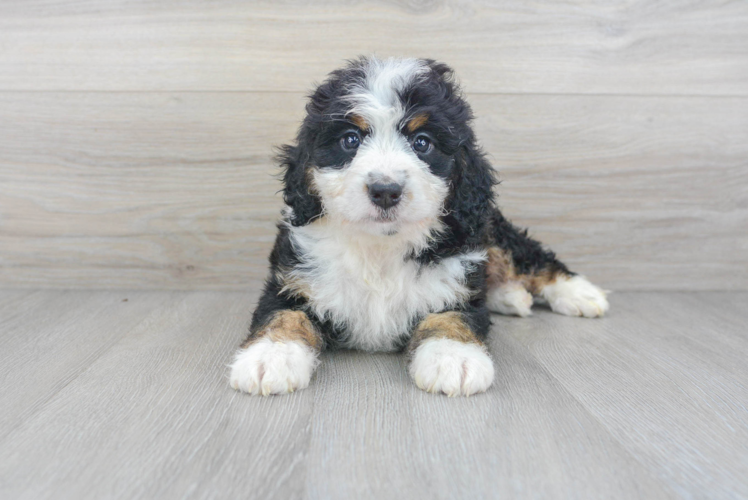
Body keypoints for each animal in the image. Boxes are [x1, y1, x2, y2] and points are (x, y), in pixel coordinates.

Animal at [231, 56, 612, 396]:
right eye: (350, 140)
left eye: (422, 143)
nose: (385, 190)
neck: (380, 248)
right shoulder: (292, 278)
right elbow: (282, 315)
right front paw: (269, 356)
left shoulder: (456, 275)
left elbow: (452, 314)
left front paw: (454, 358)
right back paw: (509, 296)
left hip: (487, 225)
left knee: (526, 256)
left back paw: (579, 293)